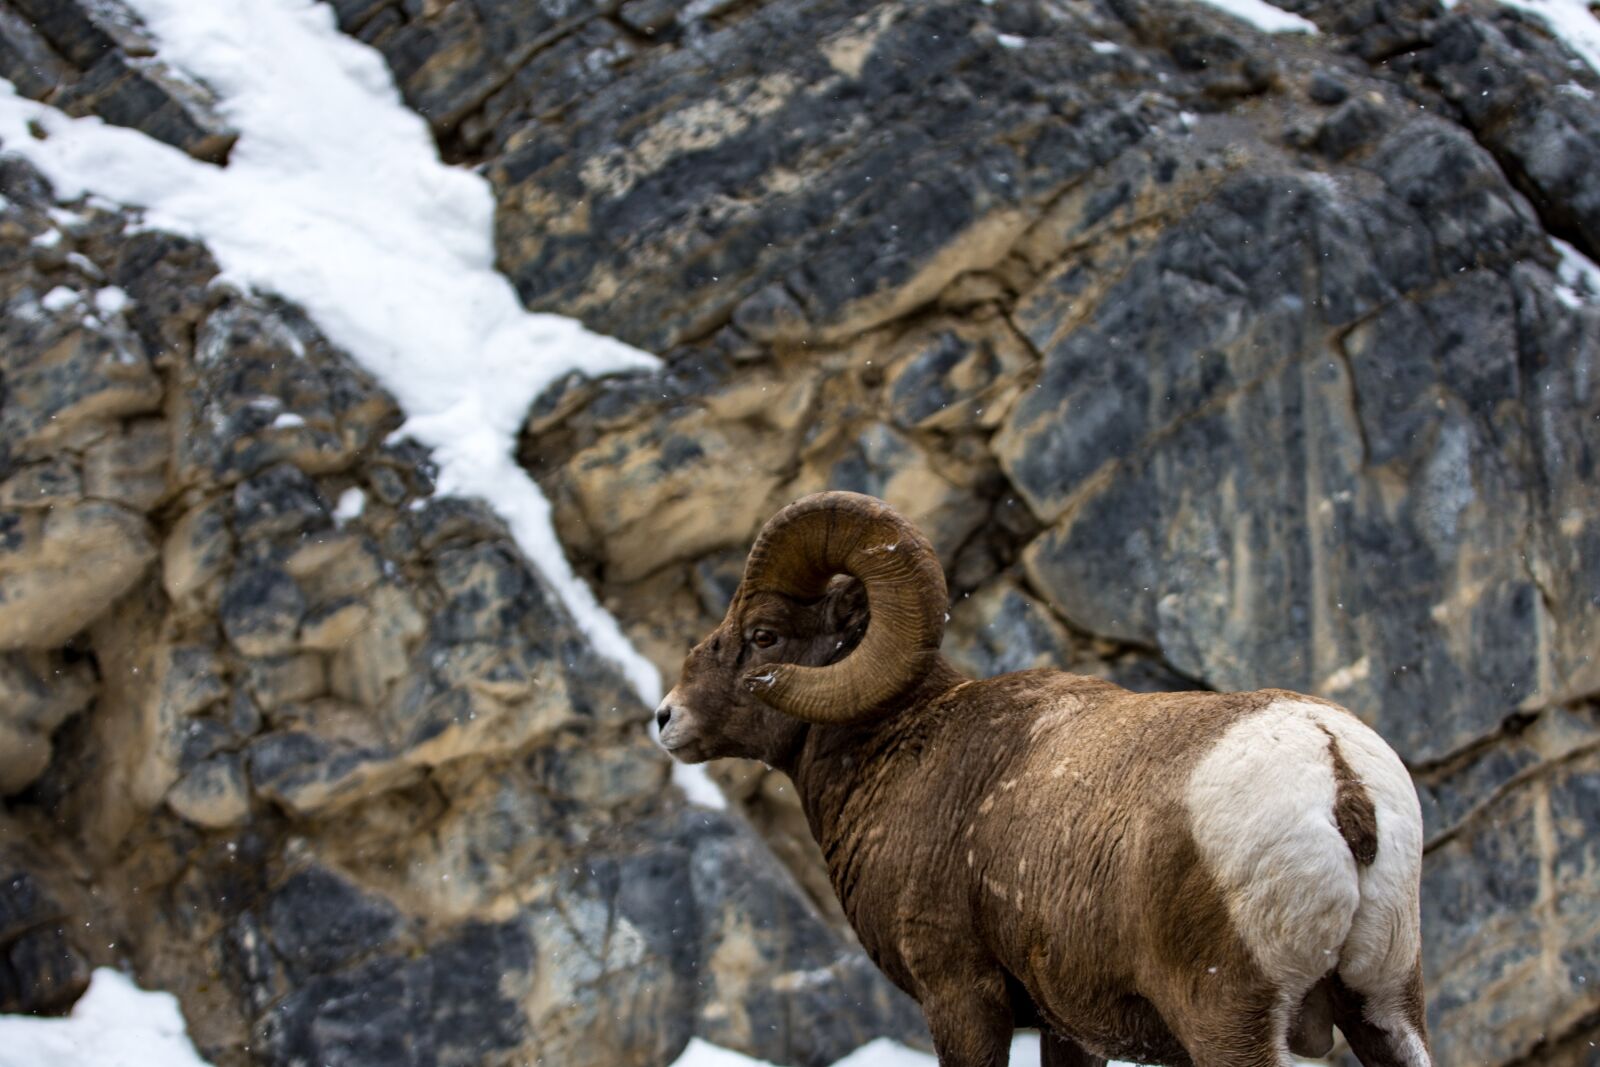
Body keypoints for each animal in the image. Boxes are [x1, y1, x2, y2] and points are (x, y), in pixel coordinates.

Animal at [655, 491, 1431, 1067]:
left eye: (764, 636)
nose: (666, 717)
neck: (899, 754)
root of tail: (1336, 774)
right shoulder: (1068, 1028)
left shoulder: (961, 996)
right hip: (1387, 1007)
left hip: (1231, 1024)